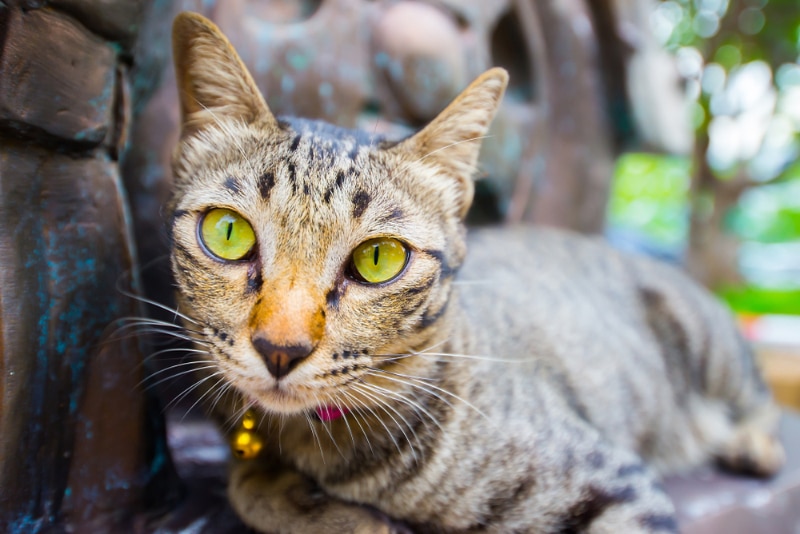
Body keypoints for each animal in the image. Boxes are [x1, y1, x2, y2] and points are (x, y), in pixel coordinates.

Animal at [166, 12, 784, 534]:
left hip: (707, 342)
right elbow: (247, 483)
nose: (280, 349)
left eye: (377, 259)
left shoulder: (614, 484)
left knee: (759, 396)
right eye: (228, 233)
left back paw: (753, 442)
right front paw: (312, 504)